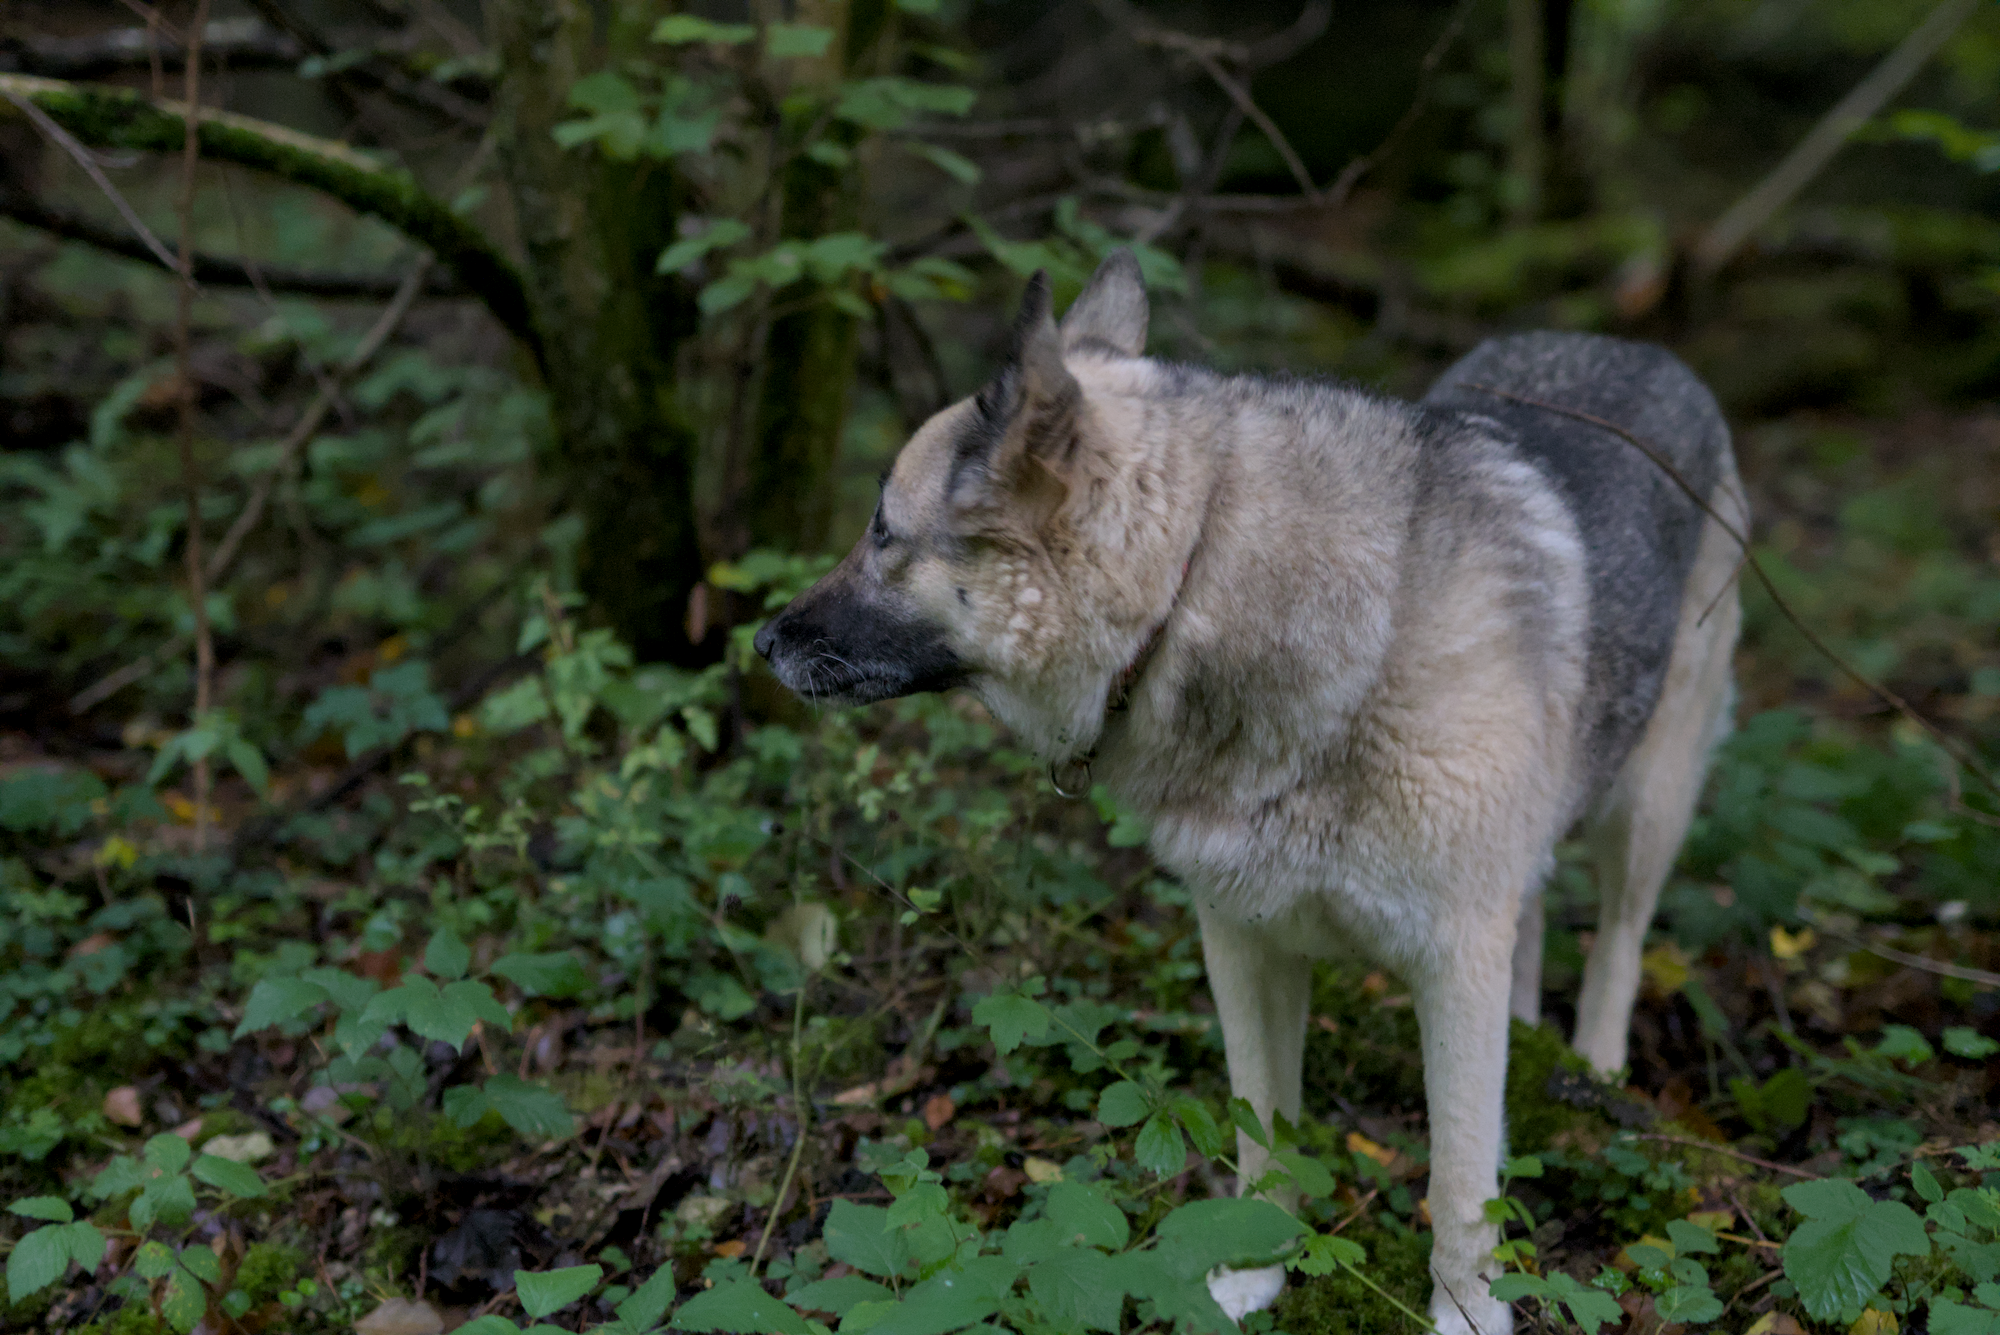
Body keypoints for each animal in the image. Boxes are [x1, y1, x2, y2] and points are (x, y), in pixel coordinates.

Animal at [754, 250, 1743, 1334]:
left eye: (882, 531)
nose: (759, 641)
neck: (1200, 580)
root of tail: (1637, 346)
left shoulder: (1454, 964)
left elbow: (1457, 1181)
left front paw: (1465, 1314)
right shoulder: (1243, 944)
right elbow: (1262, 1136)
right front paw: (1256, 1277)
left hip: (1646, 812)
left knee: (1617, 944)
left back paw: (1597, 1070)